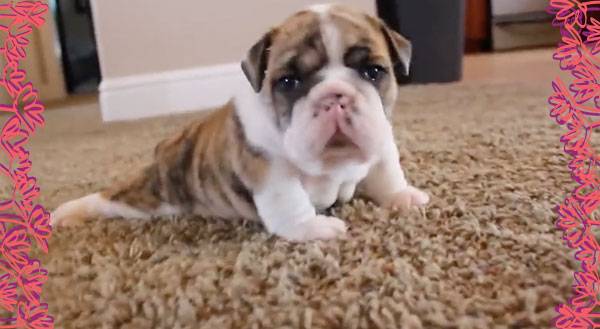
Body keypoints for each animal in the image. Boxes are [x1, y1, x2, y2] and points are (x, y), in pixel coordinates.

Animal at [50, 3, 426, 241]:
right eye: (288, 82)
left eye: (373, 71)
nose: (334, 97)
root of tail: (166, 148)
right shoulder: (268, 166)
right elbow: (290, 200)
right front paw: (311, 229)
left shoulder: (382, 142)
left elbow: (387, 172)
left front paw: (402, 196)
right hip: (150, 196)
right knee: (106, 200)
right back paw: (67, 213)